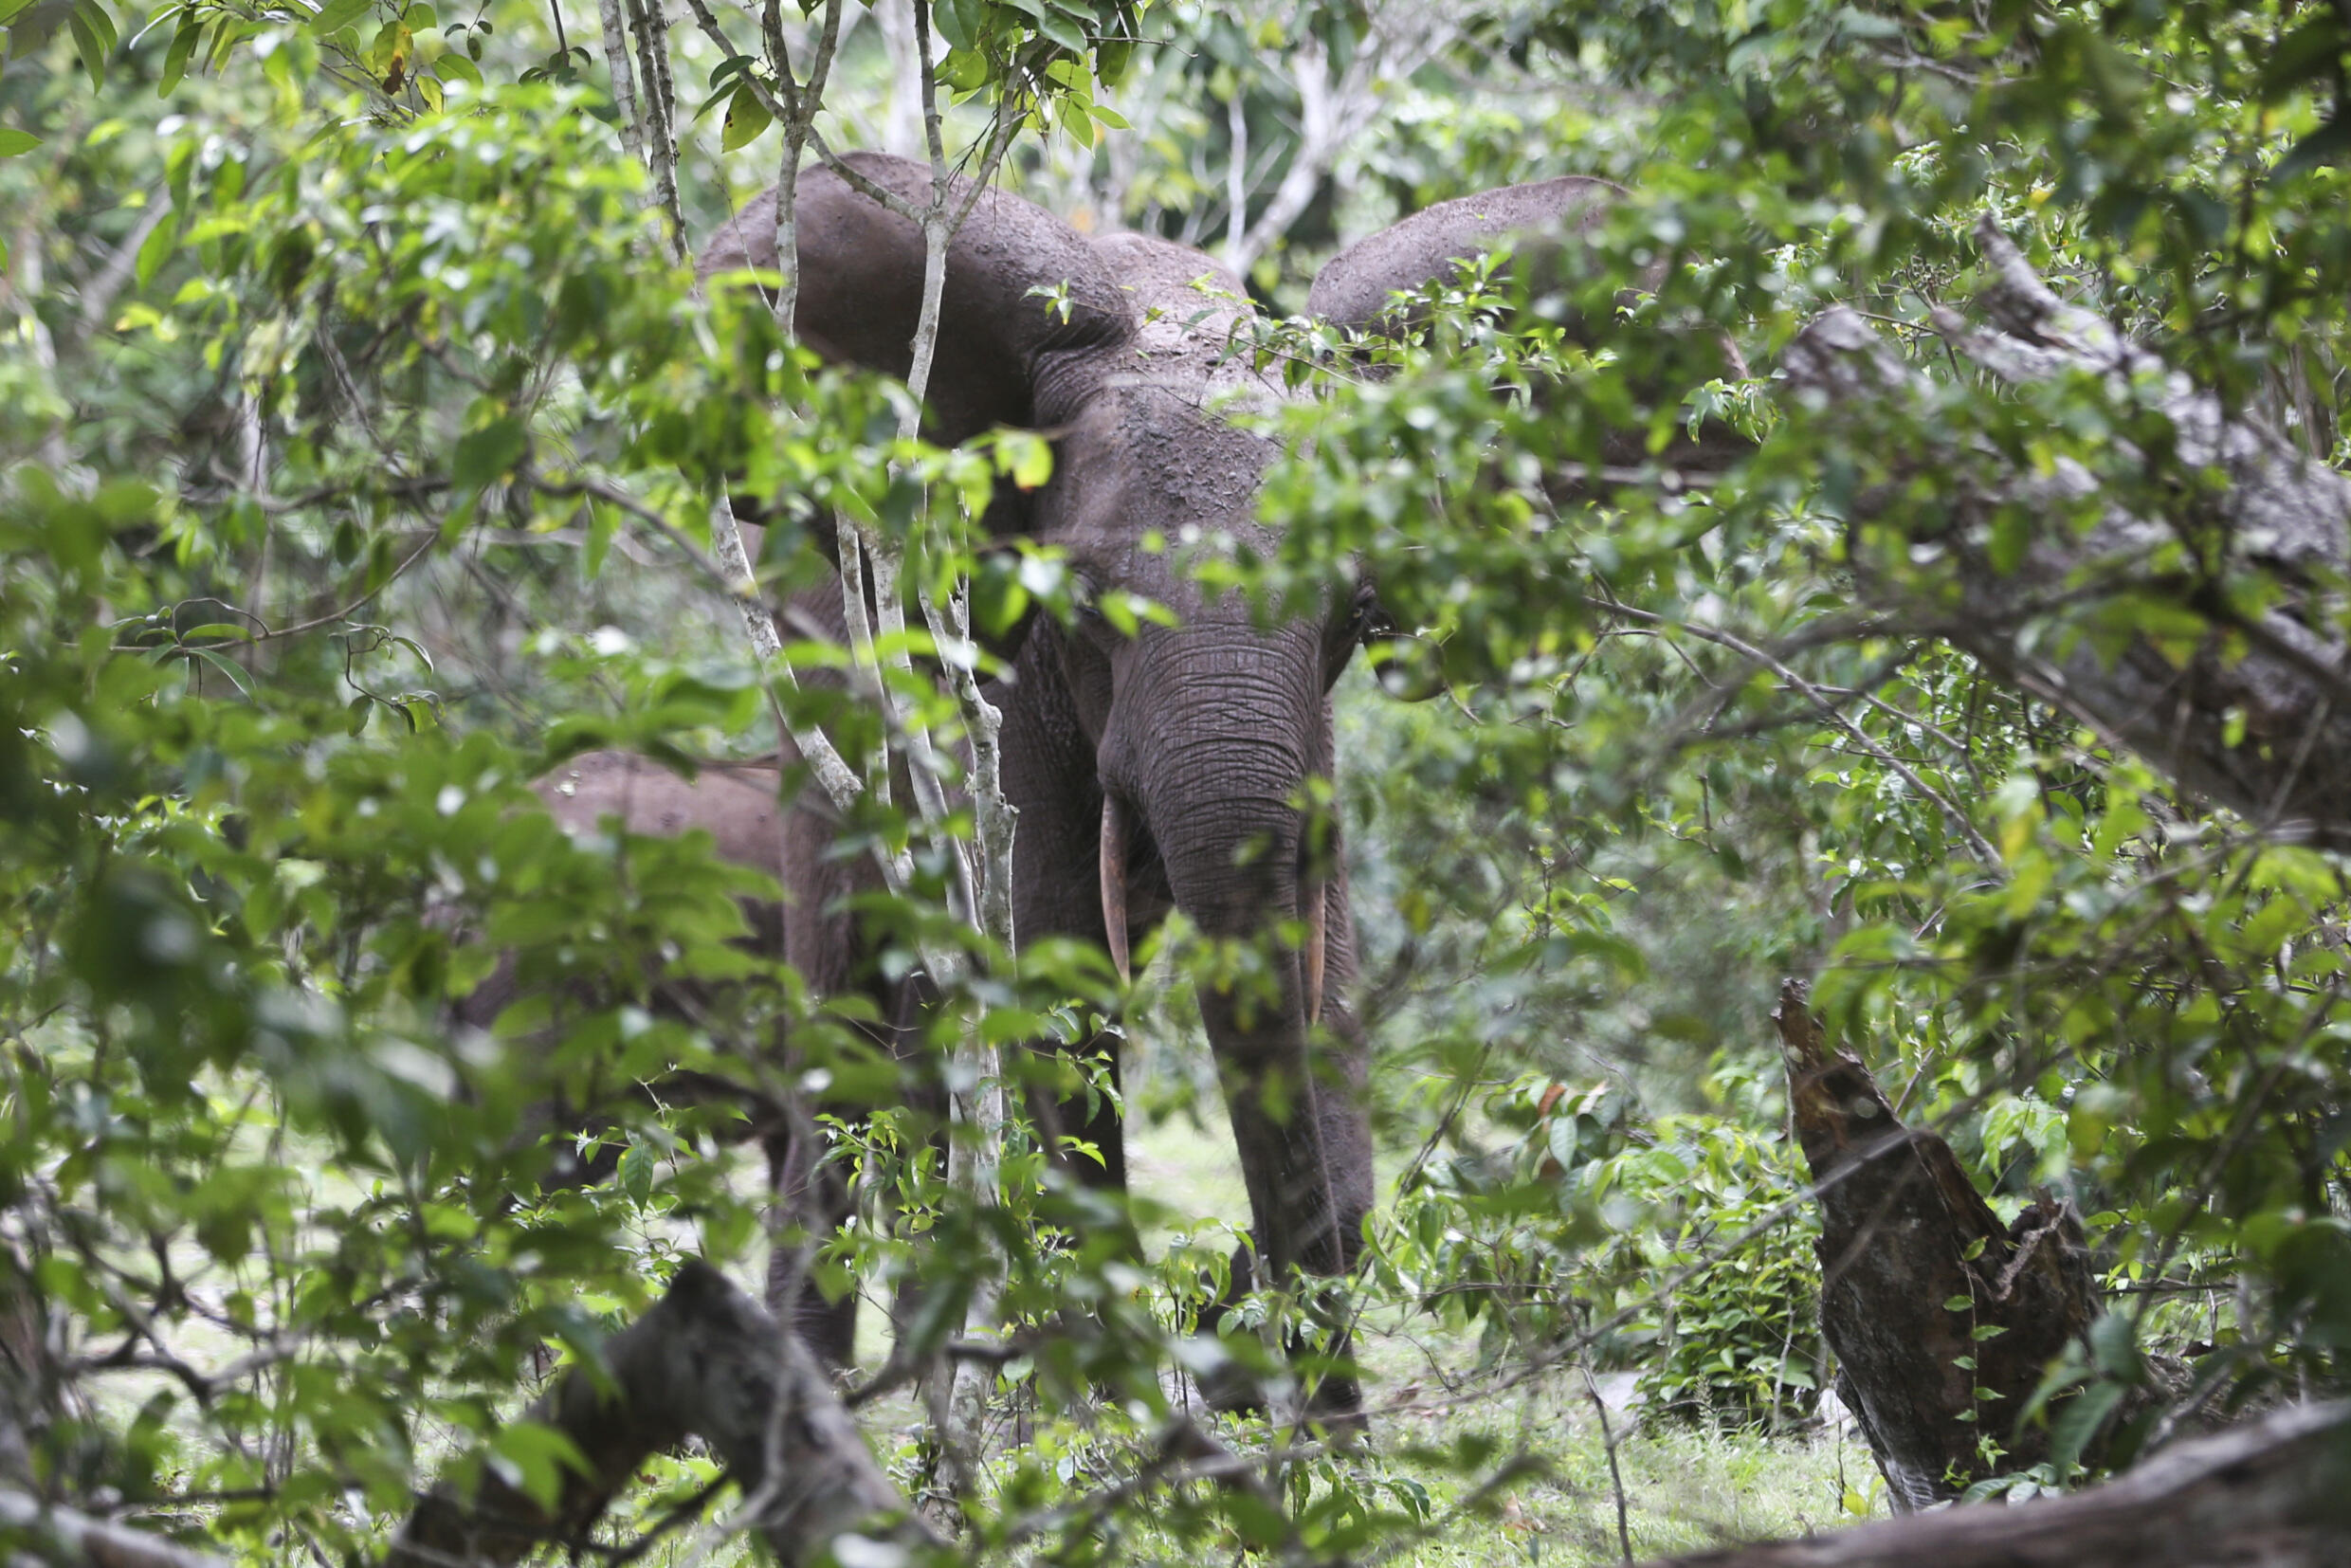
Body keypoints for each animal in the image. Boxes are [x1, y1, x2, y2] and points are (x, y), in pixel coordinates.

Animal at [538, 155, 1730, 1419]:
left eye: (1358, 609)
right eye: (1081, 600)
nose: (1322, 1416)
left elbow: (1320, 979)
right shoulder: (997, 684)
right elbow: (1047, 963)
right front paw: (1111, 1408)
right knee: (850, 997)